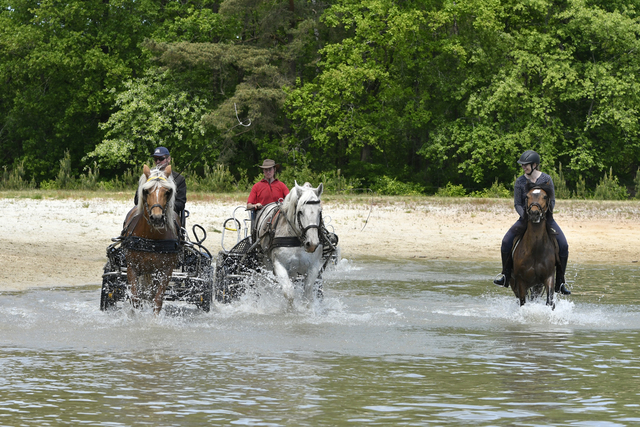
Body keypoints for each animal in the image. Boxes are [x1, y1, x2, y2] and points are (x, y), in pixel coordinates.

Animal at [122, 164, 180, 314]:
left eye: (167, 192)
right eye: (146, 191)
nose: (157, 218)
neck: (152, 239)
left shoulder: (166, 271)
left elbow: (157, 300)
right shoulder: (132, 267)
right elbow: (135, 299)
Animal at [512, 182, 556, 310]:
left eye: (545, 197)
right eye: (527, 196)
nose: (534, 214)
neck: (535, 249)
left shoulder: (548, 277)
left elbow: (549, 301)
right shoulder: (521, 282)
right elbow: (522, 303)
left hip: (537, 286)